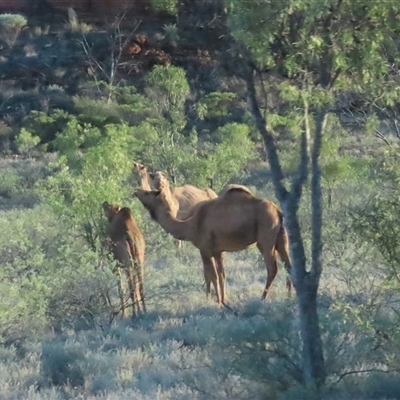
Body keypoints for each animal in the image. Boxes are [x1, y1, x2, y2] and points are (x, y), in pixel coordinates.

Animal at [134, 186, 290, 304]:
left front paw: (218, 303)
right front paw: (223, 300)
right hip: (282, 238)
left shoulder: (205, 249)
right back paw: (290, 295)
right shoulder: (218, 251)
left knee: (272, 268)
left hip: (265, 238)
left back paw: (262, 298)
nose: (136, 191)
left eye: (148, 192)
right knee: (288, 264)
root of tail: (278, 211)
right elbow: (222, 276)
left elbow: (212, 276)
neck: (190, 226)